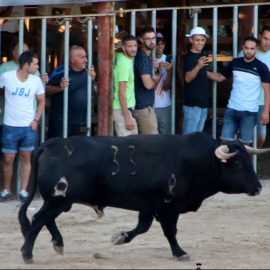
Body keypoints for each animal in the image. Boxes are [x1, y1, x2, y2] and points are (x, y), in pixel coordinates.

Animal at [18, 133, 268, 264]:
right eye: (238, 164)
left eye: (248, 161)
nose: (257, 188)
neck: (200, 160)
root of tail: (52, 143)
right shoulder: (169, 207)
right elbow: (170, 232)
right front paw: (180, 253)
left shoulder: (148, 205)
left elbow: (142, 227)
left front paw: (119, 237)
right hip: (58, 200)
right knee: (39, 220)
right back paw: (28, 254)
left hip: (59, 201)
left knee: (44, 219)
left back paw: (58, 244)